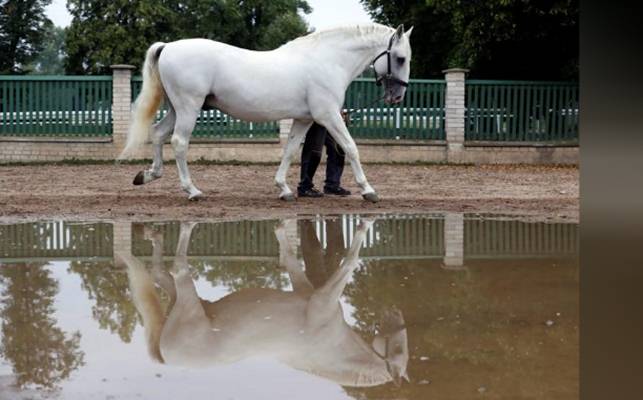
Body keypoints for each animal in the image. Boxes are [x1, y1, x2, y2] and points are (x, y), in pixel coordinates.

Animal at [116, 219, 410, 388]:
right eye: (399, 348)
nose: (396, 312)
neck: (331, 345)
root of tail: (165, 356)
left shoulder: (305, 290)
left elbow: (290, 258)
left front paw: (280, 229)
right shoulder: (323, 298)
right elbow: (350, 261)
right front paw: (362, 227)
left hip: (183, 300)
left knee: (158, 273)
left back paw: (152, 233)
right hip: (188, 299)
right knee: (177, 268)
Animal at [118, 23, 416, 202]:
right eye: (400, 58)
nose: (397, 97)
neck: (327, 60)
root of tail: (168, 46)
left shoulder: (304, 119)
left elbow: (290, 150)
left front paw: (284, 189)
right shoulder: (328, 116)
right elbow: (351, 148)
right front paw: (368, 190)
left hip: (176, 108)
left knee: (158, 134)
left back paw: (148, 175)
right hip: (188, 108)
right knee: (179, 142)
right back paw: (192, 191)